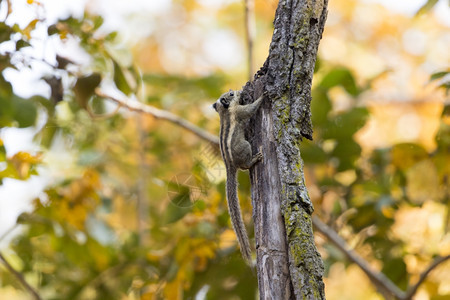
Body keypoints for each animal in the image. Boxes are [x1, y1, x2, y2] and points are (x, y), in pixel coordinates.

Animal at [214, 89, 264, 264]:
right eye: (230, 94)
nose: (237, 91)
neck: (225, 111)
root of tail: (229, 165)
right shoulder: (240, 112)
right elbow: (250, 109)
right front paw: (263, 96)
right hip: (246, 146)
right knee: (245, 166)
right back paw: (254, 159)